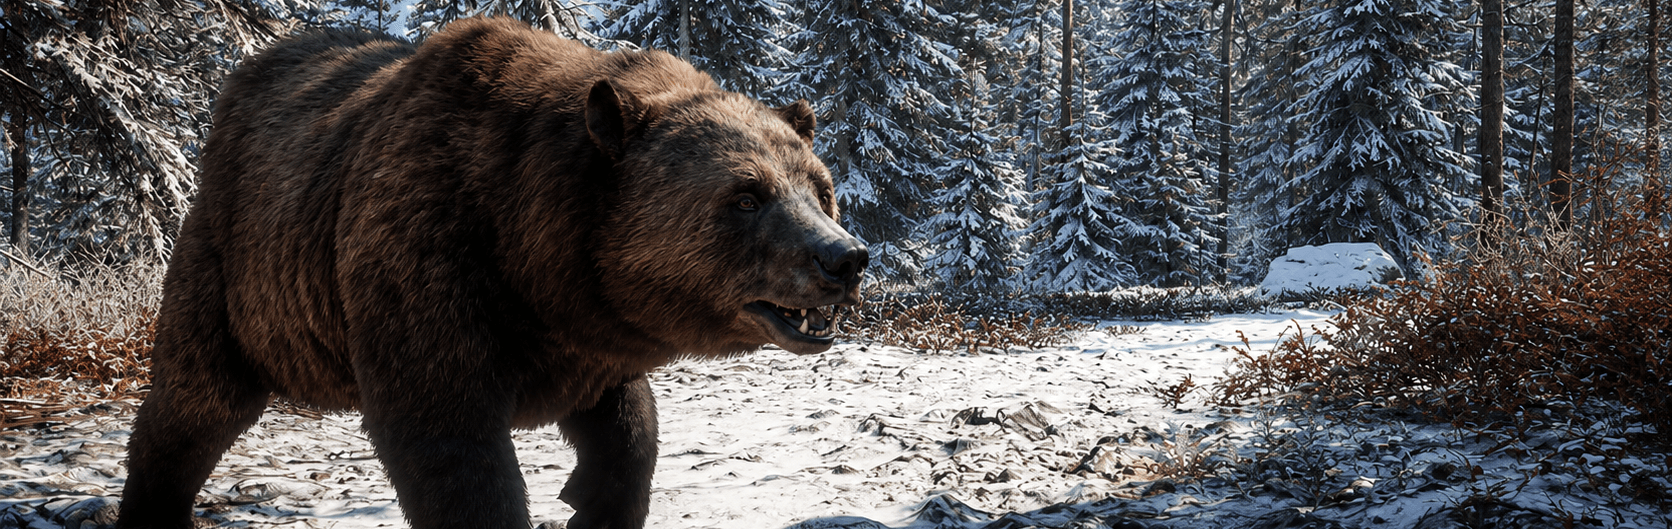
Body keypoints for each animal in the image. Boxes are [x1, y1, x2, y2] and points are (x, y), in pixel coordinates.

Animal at [117, 17, 866, 529]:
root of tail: (243, 77)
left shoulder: (584, 329)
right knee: (194, 401)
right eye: (746, 195)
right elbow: (449, 439)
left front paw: (589, 498)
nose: (844, 257)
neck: (525, 242)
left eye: (819, 187)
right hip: (237, 267)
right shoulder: (432, 256)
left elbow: (626, 426)